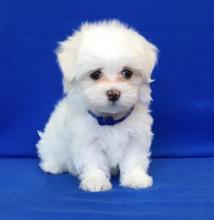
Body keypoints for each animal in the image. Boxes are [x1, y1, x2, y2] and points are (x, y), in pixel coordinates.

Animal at [36, 19, 157, 191]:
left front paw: (135, 178)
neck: (110, 120)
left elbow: (133, 159)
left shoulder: (136, 137)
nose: (113, 93)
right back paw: (52, 166)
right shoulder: (86, 140)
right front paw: (96, 180)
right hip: (52, 141)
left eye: (127, 73)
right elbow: (93, 161)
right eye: (95, 74)